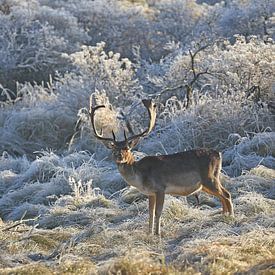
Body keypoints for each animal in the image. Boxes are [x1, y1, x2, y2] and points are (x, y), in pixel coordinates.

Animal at [89, 98, 234, 236]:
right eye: (114, 149)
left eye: (127, 148)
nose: (119, 156)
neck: (140, 176)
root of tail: (218, 154)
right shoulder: (150, 193)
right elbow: (150, 213)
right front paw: (149, 233)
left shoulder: (160, 188)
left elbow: (158, 212)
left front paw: (158, 233)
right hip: (205, 183)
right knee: (222, 196)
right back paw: (224, 216)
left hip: (209, 178)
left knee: (226, 194)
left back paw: (231, 218)